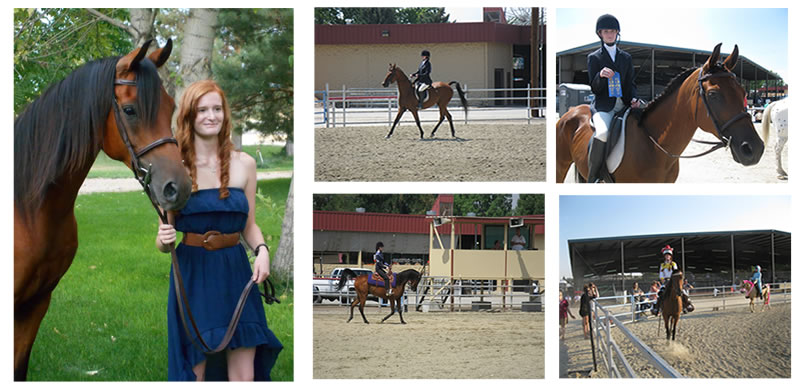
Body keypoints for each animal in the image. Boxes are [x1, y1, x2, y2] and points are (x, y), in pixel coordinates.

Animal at [556, 43, 764, 183]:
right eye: (713, 94)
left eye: (744, 93)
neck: (654, 145)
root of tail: (572, 111)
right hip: (561, 165)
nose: (754, 149)